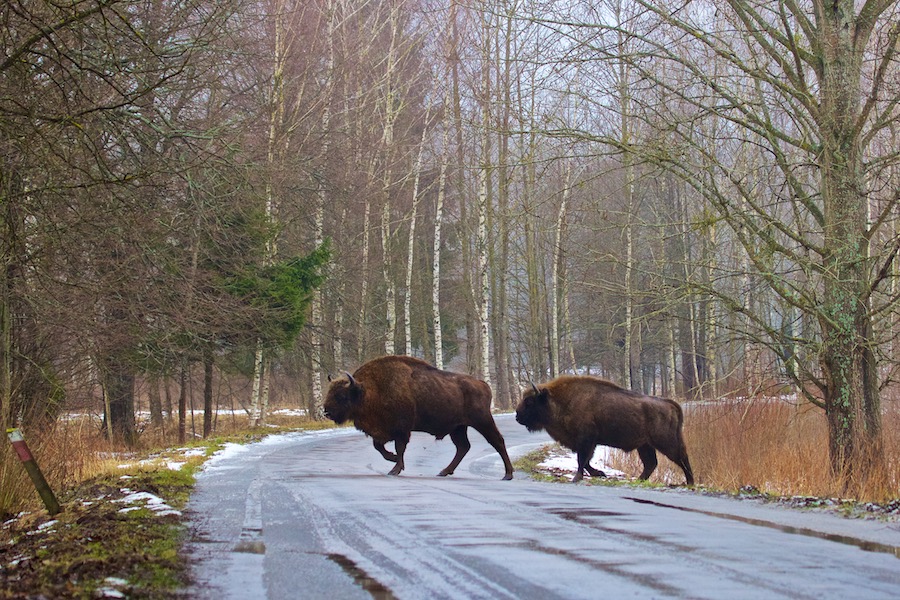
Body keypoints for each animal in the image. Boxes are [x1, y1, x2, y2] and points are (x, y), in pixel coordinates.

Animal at [324, 354, 512, 480]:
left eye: (342, 396)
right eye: (330, 392)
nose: (326, 412)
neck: (368, 390)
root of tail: (483, 384)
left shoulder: (402, 430)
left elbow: (399, 448)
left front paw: (395, 469)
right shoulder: (383, 431)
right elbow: (379, 447)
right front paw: (393, 460)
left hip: (482, 421)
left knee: (497, 441)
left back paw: (508, 474)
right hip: (458, 428)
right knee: (463, 447)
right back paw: (443, 471)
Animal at [512, 378, 696, 486]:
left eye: (529, 401)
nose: (517, 416)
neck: (560, 400)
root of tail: (670, 404)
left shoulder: (585, 440)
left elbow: (582, 460)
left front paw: (577, 478)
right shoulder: (588, 442)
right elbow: (586, 461)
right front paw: (600, 473)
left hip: (665, 442)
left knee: (681, 457)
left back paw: (690, 482)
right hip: (645, 445)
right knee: (651, 463)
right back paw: (638, 480)